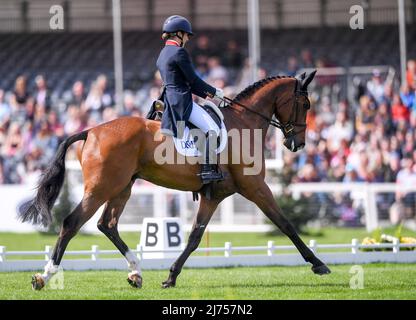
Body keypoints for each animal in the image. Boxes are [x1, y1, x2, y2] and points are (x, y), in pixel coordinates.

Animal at [20, 70, 332, 290]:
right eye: (306, 103)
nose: (298, 144)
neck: (244, 124)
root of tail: (91, 131)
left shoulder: (212, 196)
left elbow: (194, 236)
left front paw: (171, 276)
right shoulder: (255, 187)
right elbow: (286, 224)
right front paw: (318, 265)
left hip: (122, 187)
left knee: (107, 224)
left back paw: (136, 272)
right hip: (100, 188)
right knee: (72, 223)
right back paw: (45, 276)